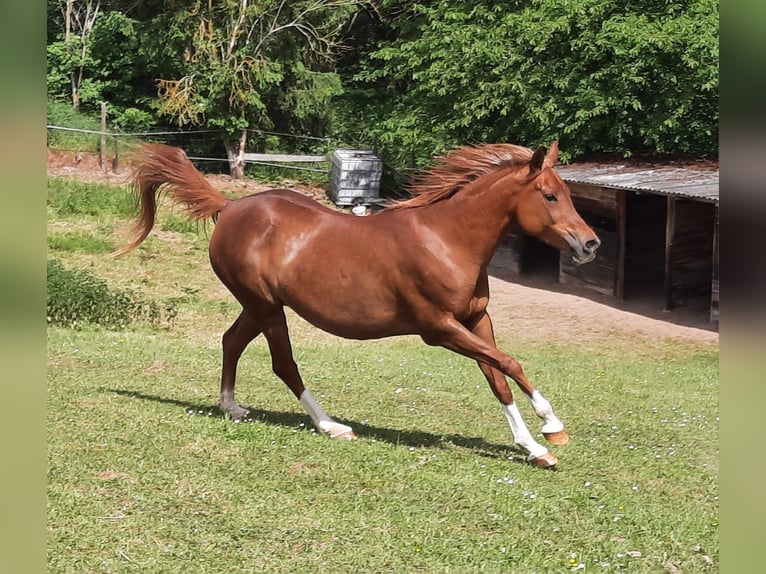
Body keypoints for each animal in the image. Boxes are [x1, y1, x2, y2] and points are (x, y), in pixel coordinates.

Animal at [118, 142, 600, 470]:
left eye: (567, 193)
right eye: (550, 195)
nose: (590, 244)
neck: (447, 240)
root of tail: (231, 205)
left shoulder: (477, 320)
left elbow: (498, 377)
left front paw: (534, 448)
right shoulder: (439, 328)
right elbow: (511, 363)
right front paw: (552, 427)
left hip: (257, 306)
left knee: (231, 341)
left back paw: (232, 407)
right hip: (266, 306)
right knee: (283, 363)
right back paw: (331, 426)